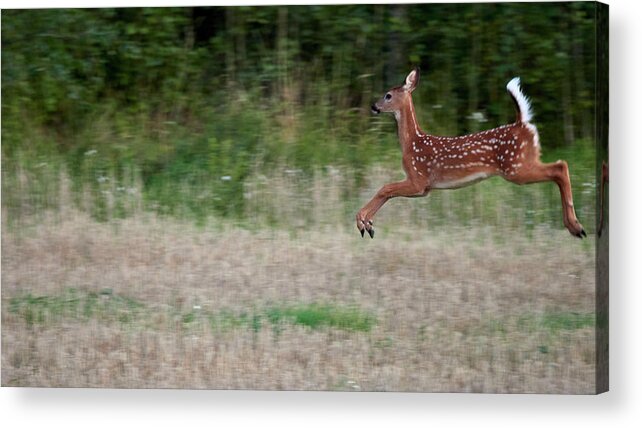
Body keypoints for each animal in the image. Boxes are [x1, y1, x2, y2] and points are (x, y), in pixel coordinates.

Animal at [356, 68, 584, 239]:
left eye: (388, 95)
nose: (374, 106)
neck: (412, 143)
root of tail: (523, 124)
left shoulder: (419, 179)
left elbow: (385, 188)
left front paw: (362, 221)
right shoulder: (423, 187)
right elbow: (388, 192)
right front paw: (369, 224)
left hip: (516, 167)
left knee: (560, 167)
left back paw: (576, 227)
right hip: (523, 163)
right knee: (560, 167)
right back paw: (574, 227)